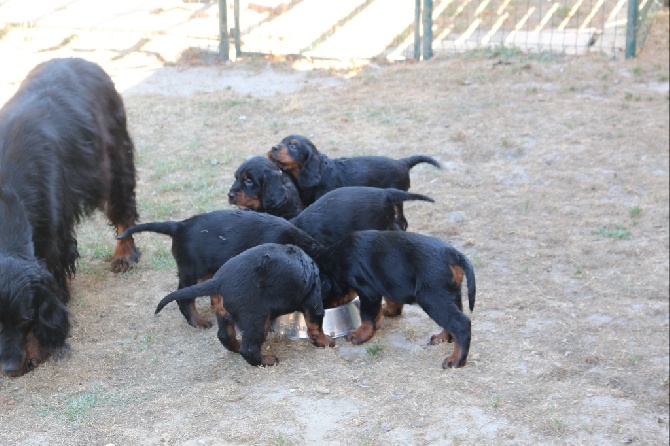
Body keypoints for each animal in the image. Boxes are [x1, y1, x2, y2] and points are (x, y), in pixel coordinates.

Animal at [0, 57, 140, 374]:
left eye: (25, 320)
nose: (9, 369)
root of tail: (79, 60)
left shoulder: (52, 239)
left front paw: (38, 347)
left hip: (112, 155)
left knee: (123, 208)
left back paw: (124, 254)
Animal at [156, 244, 336, 366]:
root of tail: (219, 281)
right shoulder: (313, 301)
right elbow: (315, 324)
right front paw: (325, 341)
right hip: (257, 319)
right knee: (249, 348)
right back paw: (267, 360)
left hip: (223, 314)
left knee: (225, 336)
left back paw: (236, 346)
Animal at [320, 230, 478, 370]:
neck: (336, 257)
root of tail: (452, 254)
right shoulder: (385, 283)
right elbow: (387, 302)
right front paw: (386, 313)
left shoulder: (368, 292)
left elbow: (366, 315)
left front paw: (360, 335)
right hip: (450, 294)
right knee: (452, 320)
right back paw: (442, 338)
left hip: (431, 297)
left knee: (460, 323)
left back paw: (455, 360)